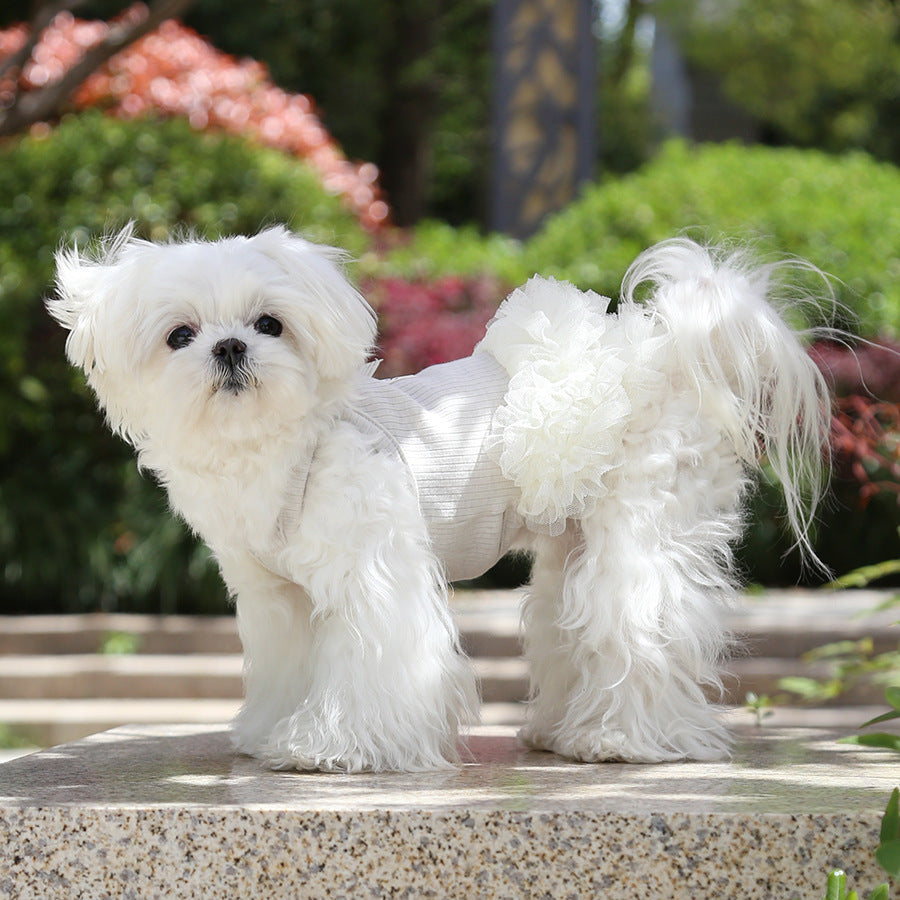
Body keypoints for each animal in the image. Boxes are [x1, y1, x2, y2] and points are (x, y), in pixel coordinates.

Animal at [47, 226, 830, 772]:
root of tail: (667, 351)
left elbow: (376, 656)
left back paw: (623, 739)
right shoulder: (278, 597)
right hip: (574, 544)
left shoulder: (372, 570)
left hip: (640, 527)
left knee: (638, 623)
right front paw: (270, 732)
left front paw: (335, 748)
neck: (282, 444)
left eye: (269, 324)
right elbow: (288, 664)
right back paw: (561, 729)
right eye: (180, 335)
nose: (231, 347)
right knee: (569, 626)